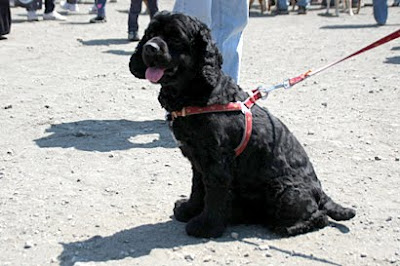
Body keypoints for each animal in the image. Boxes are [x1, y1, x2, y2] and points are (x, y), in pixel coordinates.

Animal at [129, 11, 356, 238]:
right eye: (150, 34)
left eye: (175, 38)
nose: (150, 47)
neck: (201, 95)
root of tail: (321, 192)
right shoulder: (197, 160)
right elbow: (198, 188)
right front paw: (189, 209)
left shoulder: (217, 163)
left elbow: (213, 194)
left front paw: (206, 226)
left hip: (284, 190)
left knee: (319, 216)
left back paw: (287, 226)